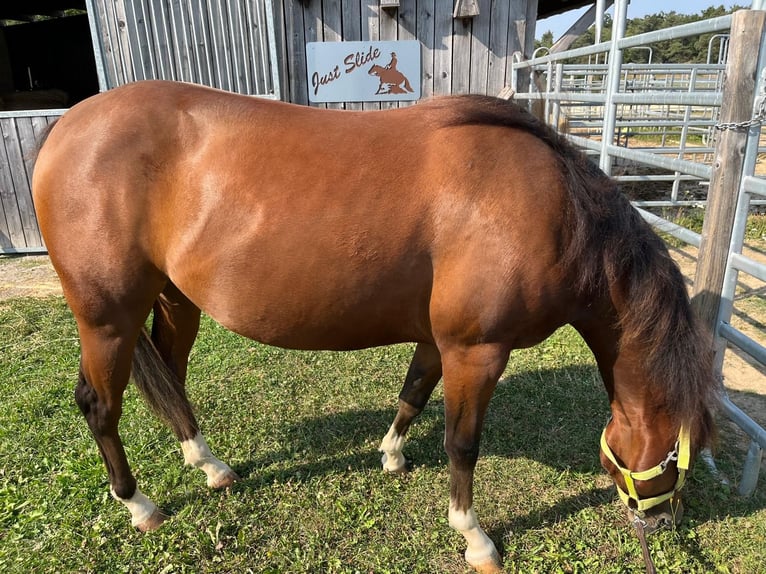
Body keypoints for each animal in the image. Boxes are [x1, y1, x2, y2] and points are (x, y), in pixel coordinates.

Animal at [32, 80, 717, 573]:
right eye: (681, 454)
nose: (665, 523)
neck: (554, 212)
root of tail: (67, 126)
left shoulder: (440, 341)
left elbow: (413, 393)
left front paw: (391, 455)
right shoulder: (478, 350)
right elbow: (462, 444)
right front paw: (475, 538)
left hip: (175, 300)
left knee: (171, 382)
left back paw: (209, 465)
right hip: (107, 317)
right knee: (98, 405)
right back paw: (139, 505)